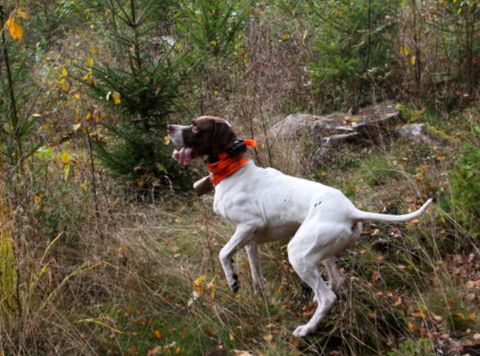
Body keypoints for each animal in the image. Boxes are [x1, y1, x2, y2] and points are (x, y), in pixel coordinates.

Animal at [167, 116, 434, 336]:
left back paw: (307, 328)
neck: (231, 170)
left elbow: (223, 253)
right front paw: (259, 296)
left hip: (297, 253)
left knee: (327, 297)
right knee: (335, 281)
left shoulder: (249, 224)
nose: (169, 127)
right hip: (320, 253)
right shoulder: (250, 240)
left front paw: (232, 279)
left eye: (196, 128)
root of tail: (350, 210)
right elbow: (256, 274)